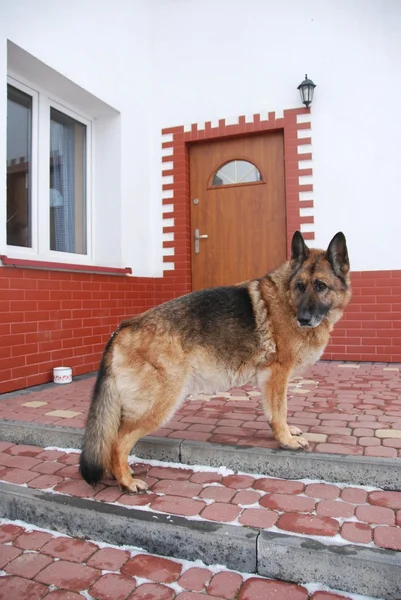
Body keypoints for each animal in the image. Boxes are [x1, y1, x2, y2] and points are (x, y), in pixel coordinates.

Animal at [79, 231, 348, 492]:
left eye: (321, 286)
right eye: (300, 286)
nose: (303, 319)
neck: (286, 298)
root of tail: (122, 328)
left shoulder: (270, 380)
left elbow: (276, 412)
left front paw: (286, 432)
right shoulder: (277, 375)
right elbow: (280, 410)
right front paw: (287, 440)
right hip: (160, 403)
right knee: (117, 442)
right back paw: (127, 482)